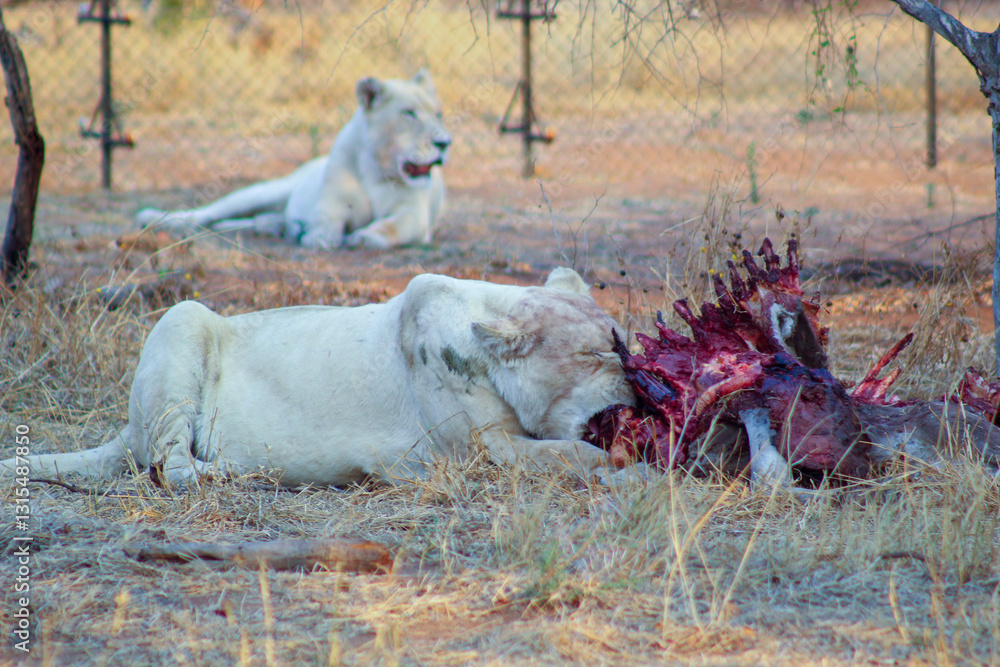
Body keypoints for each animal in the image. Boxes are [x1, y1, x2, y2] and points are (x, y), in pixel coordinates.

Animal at [2, 269, 635, 487]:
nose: (636, 388)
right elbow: (573, 454)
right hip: (181, 319)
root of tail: (127, 428)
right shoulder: (484, 450)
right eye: (596, 353)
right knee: (171, 467)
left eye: (622, 342)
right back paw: (247, 471)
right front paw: (632, 464)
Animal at [135, 71, 450, 249]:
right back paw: (154, 219)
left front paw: (365, 237)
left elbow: (393, 225)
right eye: (409, 113)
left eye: (438, 114)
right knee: (206, 214)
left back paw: (276, 226)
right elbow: (325, 220)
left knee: (247, 221)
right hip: (263, 192)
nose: (445, 142)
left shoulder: (414, 214)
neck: (378, 169)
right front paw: (320, 238)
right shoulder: (332, 202)